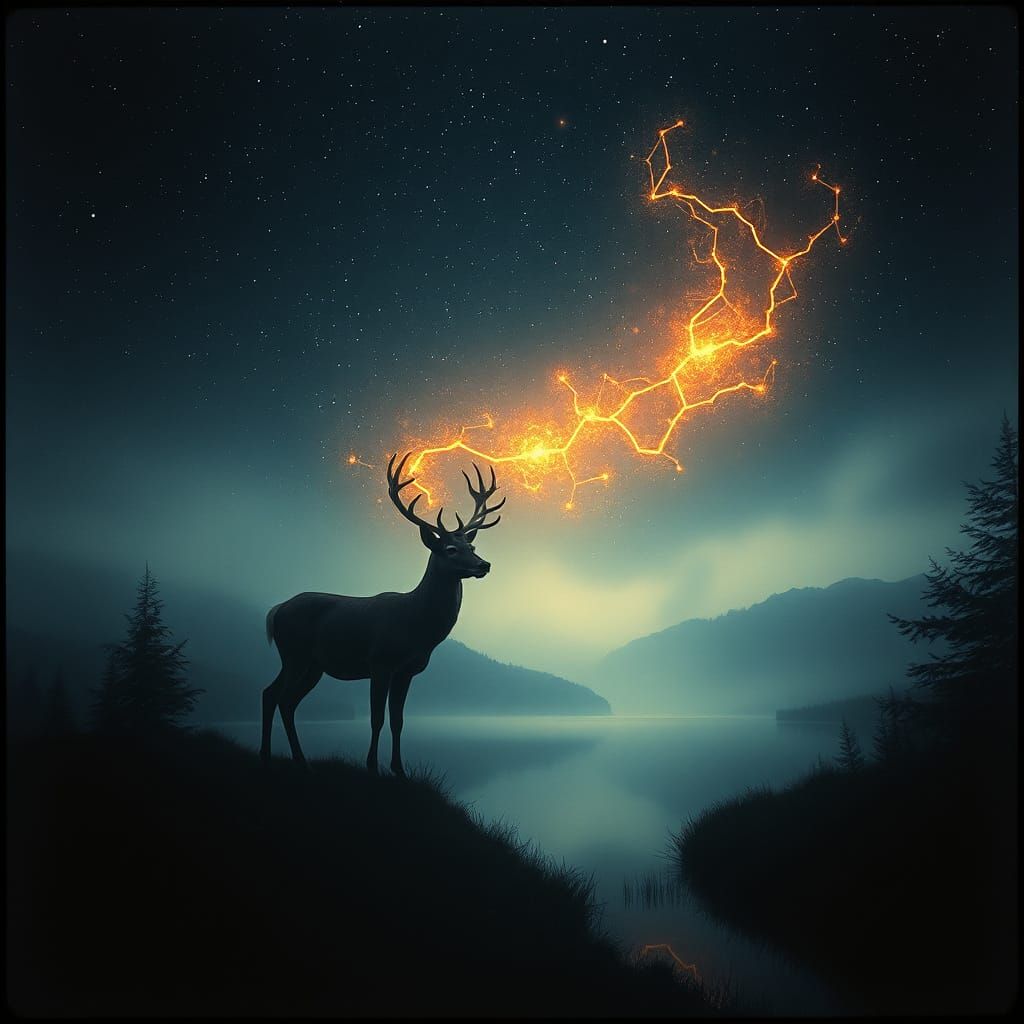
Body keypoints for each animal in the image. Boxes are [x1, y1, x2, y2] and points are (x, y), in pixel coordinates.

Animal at [260, 452, 505, 776]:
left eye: (472, 544)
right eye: (451, 548)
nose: (483, 565)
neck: (417, 626)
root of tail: (276, 610)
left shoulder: (408, 670)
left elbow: (398, 721)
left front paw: (398, 769)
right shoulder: (379, 662)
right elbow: (376, 718)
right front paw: (372, 767)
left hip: (312, 665)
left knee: (280, 698)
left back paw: (287, 758)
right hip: (294, 653)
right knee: (278, 696)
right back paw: (281, 756)